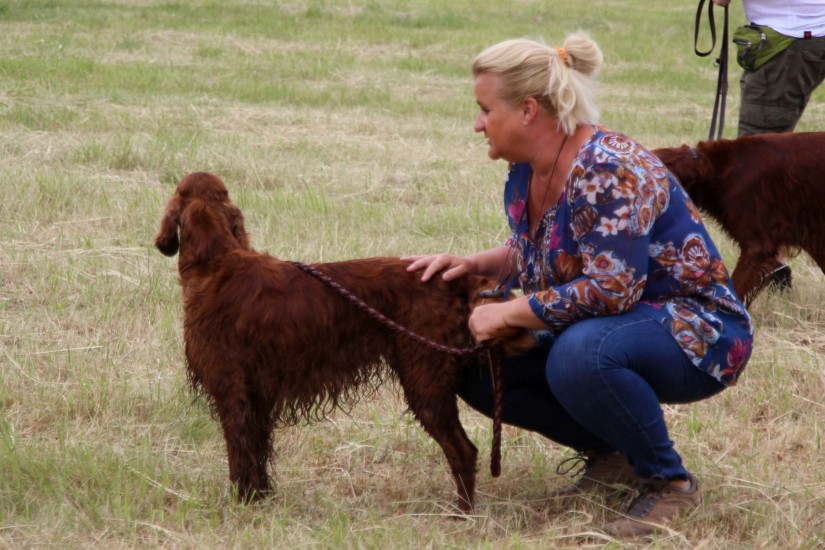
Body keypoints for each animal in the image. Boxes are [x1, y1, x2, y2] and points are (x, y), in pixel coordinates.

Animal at [155, 172, 525, 512]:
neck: (217, 261)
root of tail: (452, 281)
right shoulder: (256, 397)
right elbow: (256, 454)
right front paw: (261, 499)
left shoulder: (232, 391)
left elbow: (239, 455)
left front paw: (241, 504)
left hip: (425, 379)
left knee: (463, 450)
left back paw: (462, 513)